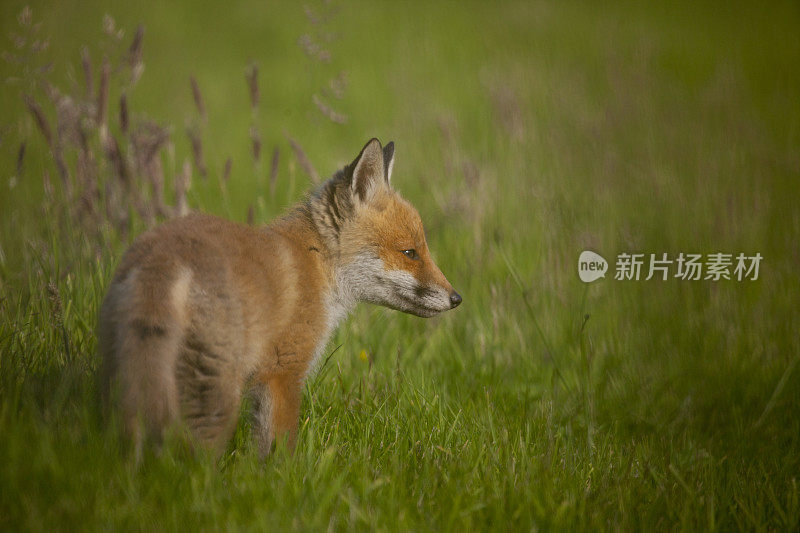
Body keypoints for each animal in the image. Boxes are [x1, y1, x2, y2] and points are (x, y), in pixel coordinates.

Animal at [98, 137, 462, 458]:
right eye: (410, 252)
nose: (456, 298)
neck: (317, 263)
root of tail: (163, 259)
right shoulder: (283, 371)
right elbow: (278, 450)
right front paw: (281, 485)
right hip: (216, 390)